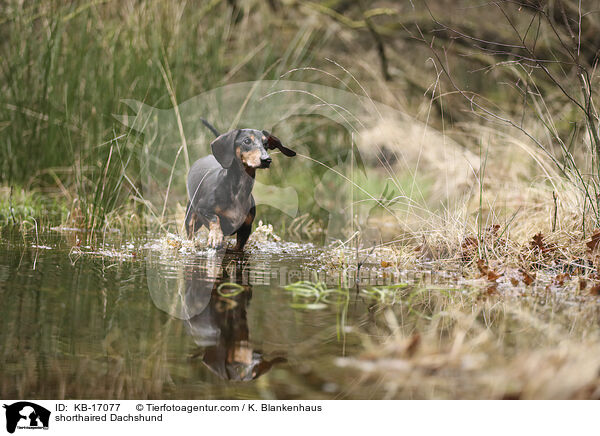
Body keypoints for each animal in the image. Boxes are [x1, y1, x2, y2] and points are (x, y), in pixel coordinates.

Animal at [184, 121, 294, 250]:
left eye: (266, 143)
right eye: (247, 141)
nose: (267, 160)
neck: (238, 191)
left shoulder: (245, 229)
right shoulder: (202, 209)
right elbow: (215, 218)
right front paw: (215, 236)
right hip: (191, 219)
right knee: (190, 233)